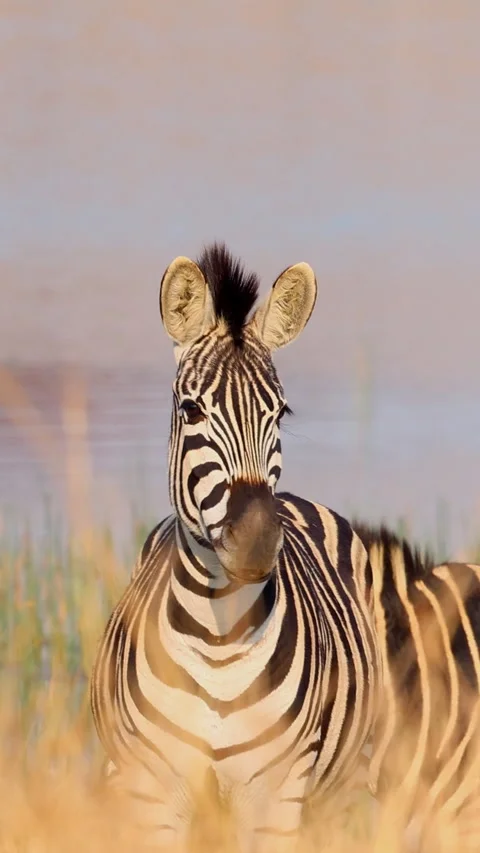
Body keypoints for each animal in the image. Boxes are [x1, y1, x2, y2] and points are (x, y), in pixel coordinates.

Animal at [90, 243, 379, 853]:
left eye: (281, 412)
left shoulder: (276, 796)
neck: (218, 642)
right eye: (191, 411)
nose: (256, 540)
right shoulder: (155, 794)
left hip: (340, 789)